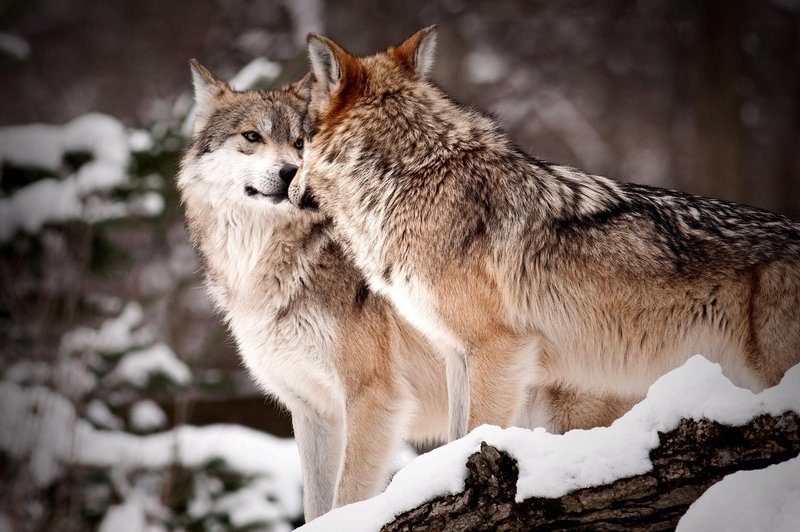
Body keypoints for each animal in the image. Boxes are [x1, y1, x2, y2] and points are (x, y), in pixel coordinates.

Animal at [288, 29, 800, 442]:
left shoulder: (499, 348)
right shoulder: (456, 354)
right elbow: (455, 435)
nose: (286, 186)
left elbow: (477, 431)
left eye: (299, 142)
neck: (411, 175)